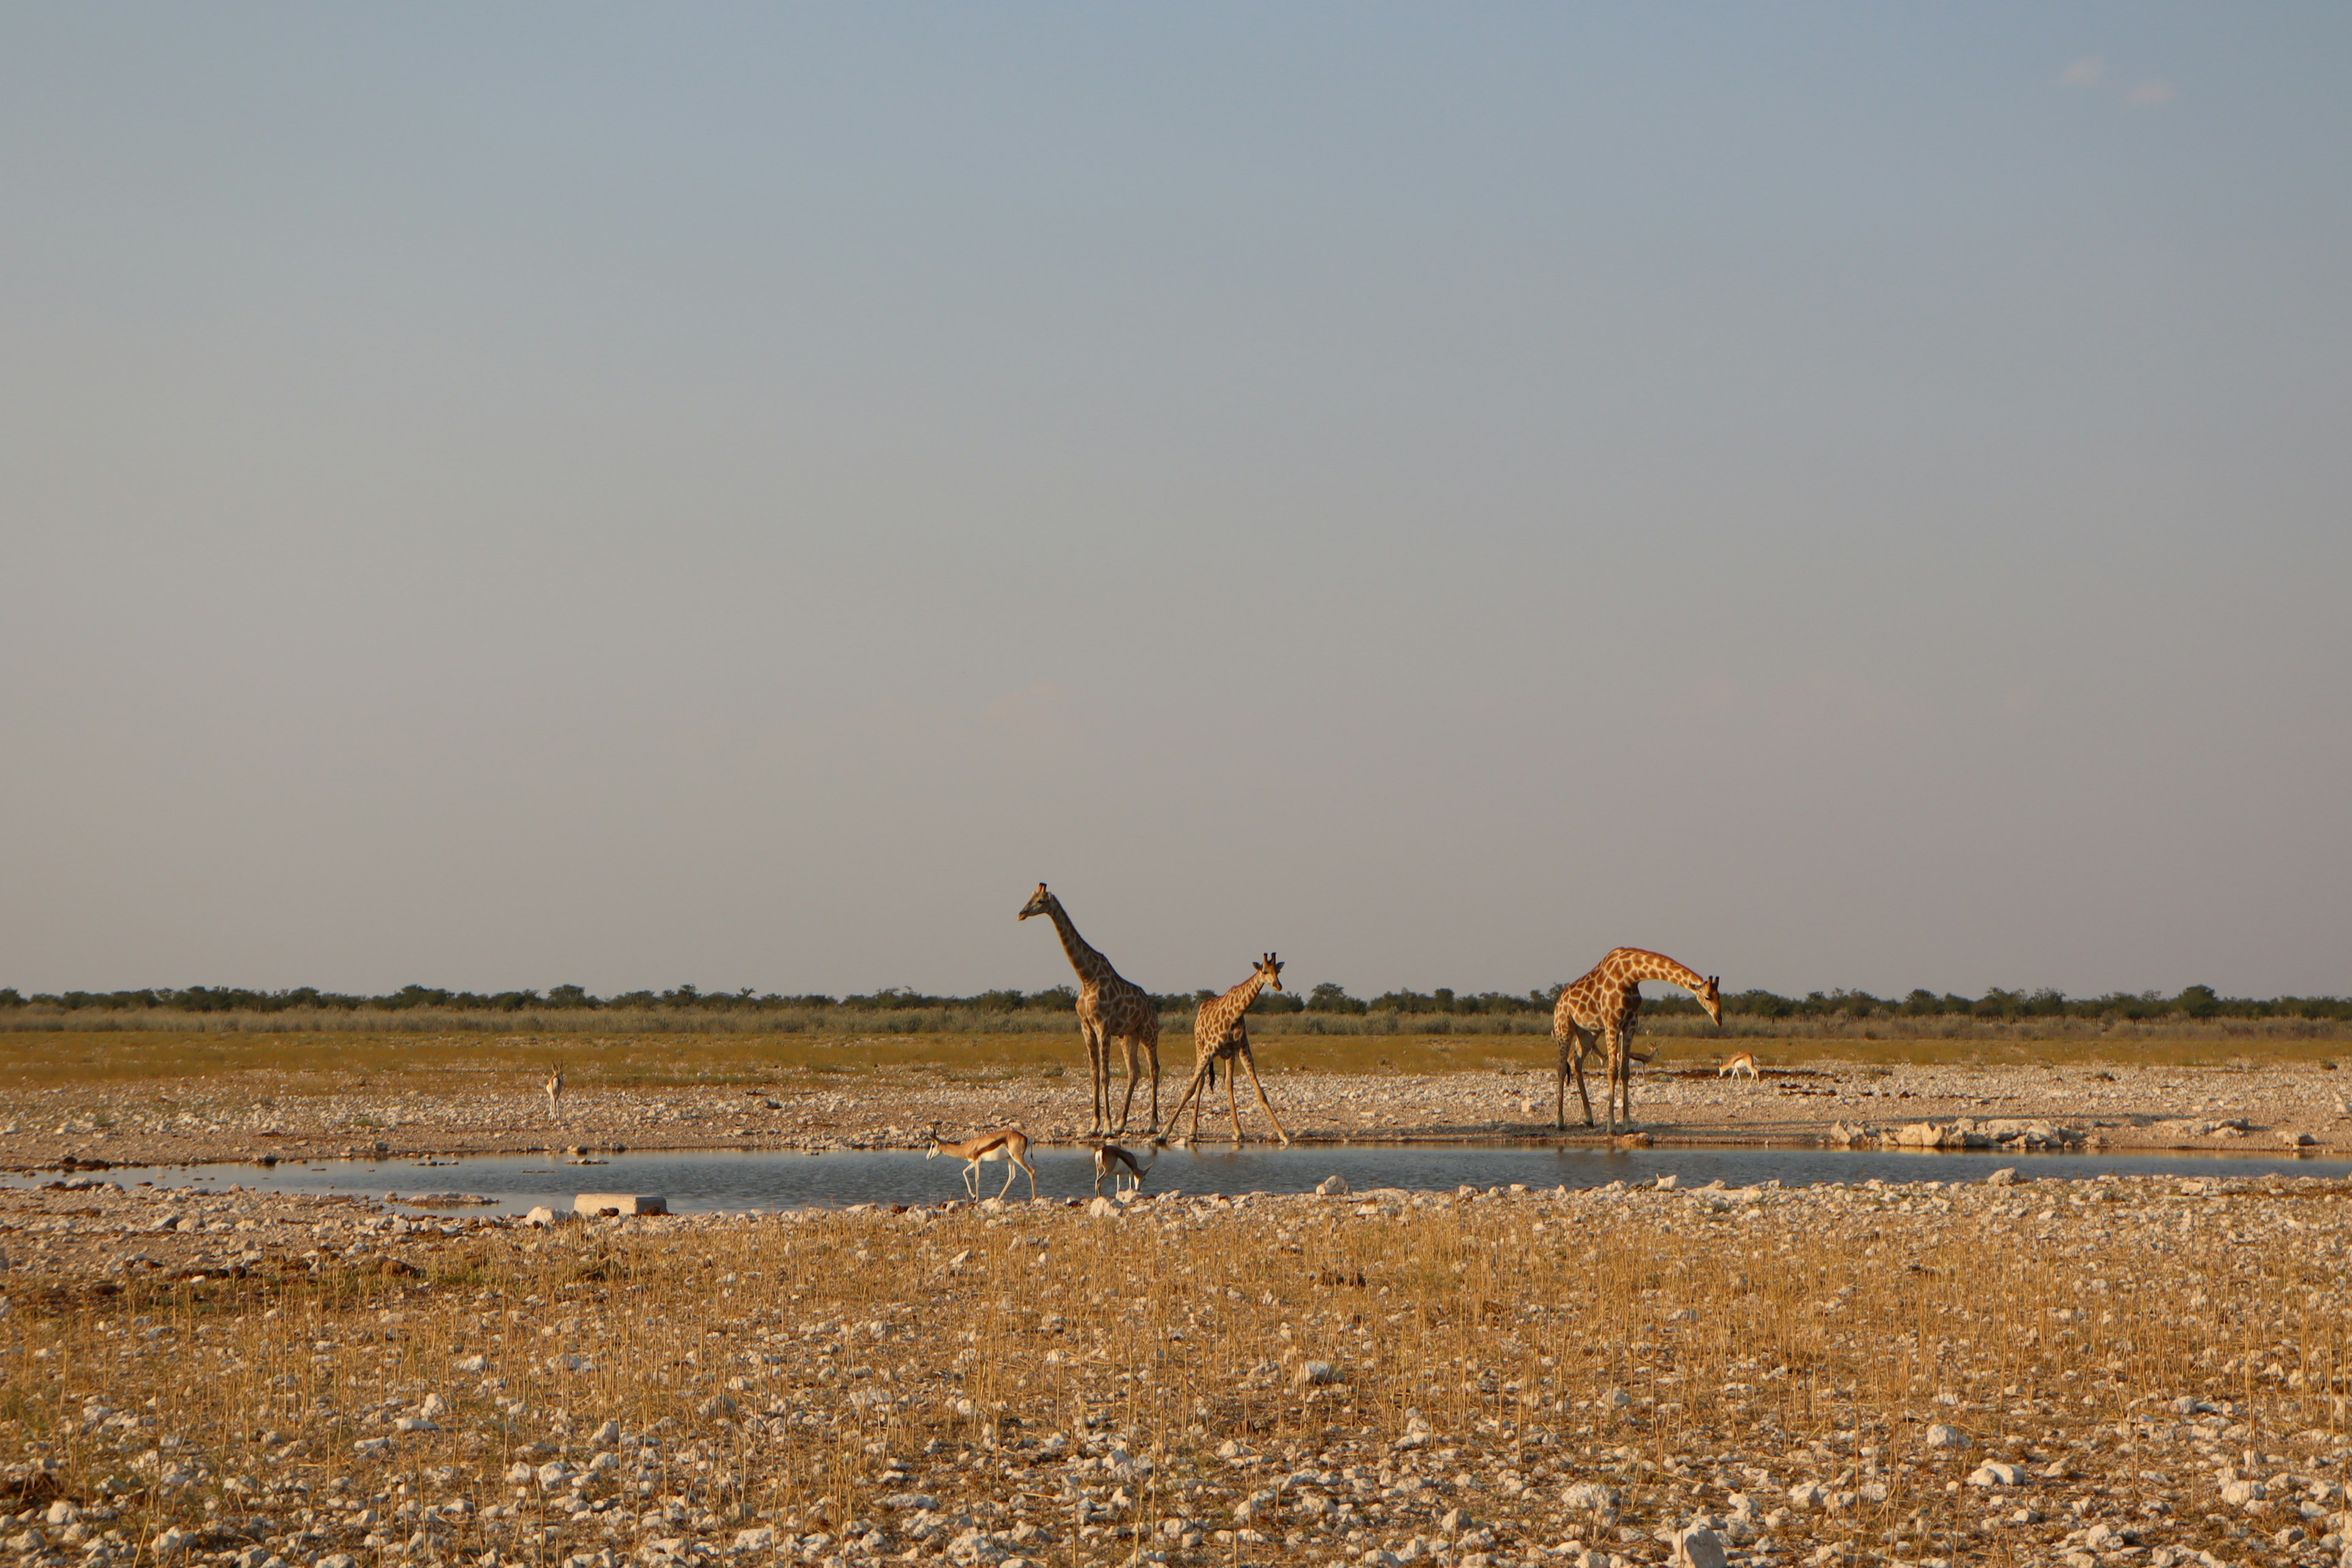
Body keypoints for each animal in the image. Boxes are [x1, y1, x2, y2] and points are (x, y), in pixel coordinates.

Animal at [1016, 888, 1161, 1133]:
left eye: (1041, 901)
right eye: (1030, 897)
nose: (1021, 914)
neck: (1086, 977)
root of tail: (1153, 1008)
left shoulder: (1103, 1027)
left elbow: (1105, 1076)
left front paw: (1107, 1126)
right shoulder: (1086, 1027)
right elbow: (1094, 1074)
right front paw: (1094, 1125)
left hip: (1149, 1033)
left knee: (1154, 1069)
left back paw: (1152, 1124)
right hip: (1129, 1035)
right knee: (1134, 1072)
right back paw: (1122, 1123)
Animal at [1166, 949, 1298, 1147]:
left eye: (1278, 971)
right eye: (1265, 971)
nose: (1278, 985)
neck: (1236, 1013)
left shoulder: (1243, 1049)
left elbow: (1260, 1092)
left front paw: (1283, 1135)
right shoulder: (1210, 1050)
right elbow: (1190, 1088)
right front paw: (1163, 1132)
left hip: (1228, 1055)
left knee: (1228, 1084)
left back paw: (1237, 1131)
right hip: (1200, 1046)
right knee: (1201, 1082)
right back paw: (1193, 1131)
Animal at [1552, 949, 1721, 1133]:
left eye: (1719, 996)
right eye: (1708, 997)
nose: (1719, 1019)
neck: (1631, 975)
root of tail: (1559, 1002)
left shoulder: (1630, 1025)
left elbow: (1625, 1072)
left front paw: (1628, 1125)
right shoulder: (1612, 1023)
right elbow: (1612, 1071)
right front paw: (1611, 1126)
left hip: (1588, 1033)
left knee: (1575, 1061)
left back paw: (1589, 1118)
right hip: (1564, 1027)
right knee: (1562, 1067)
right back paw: (1560, 1122)